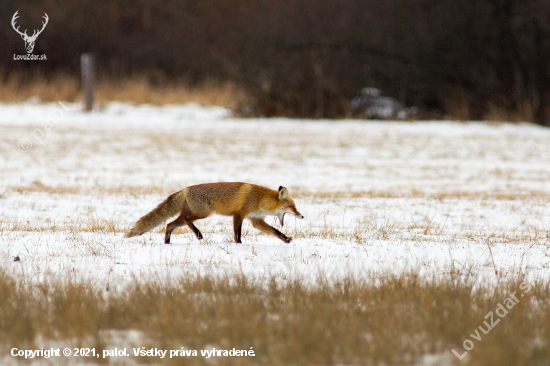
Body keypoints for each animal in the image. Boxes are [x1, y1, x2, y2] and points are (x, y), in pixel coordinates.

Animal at [126, 182, 304, 244]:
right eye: (292, 207)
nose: (302, 216)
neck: (260, 199)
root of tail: (185, 189)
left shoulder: (256, 220)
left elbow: (275, 231)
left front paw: (286, 239)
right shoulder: (238, 215)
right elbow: (237, 234)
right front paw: (239, 245)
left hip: (188, 216)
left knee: (169, 224)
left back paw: (167, 243)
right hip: (204, 213)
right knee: (187, 220)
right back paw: (198, 234)